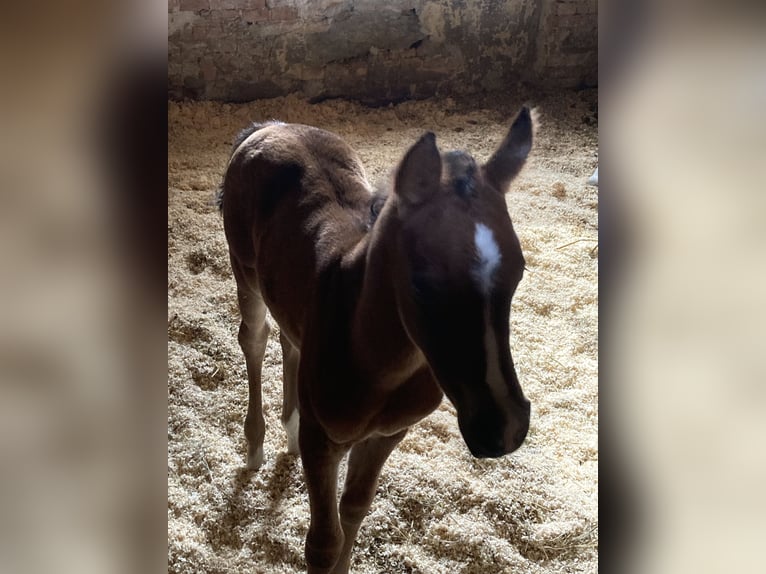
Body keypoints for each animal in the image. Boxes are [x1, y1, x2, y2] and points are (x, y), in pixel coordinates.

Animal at [218, 105, 535, 573]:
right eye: (422, 284)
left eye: (519, 272)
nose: (504, 428)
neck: (378, 365)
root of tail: (272, 127)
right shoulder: (322, 441)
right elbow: (322, 544)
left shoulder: (388, 435)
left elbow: (355, 509)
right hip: (245, 271)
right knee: (254, 339)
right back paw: (255, 445)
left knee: (290, 341)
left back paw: (288, 427)